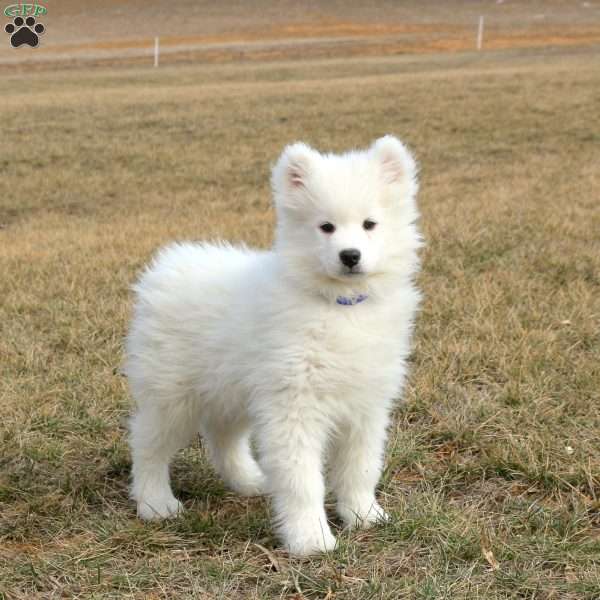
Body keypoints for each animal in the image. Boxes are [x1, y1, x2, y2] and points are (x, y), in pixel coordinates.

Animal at [124, 136, 420, 556]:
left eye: (369, 224)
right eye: (326, 227)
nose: (350, 256)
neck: (339, 306)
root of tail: (169, 264)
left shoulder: (366, 406)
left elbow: (361, 467)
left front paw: (364, 515)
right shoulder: (294, 407)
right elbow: (303, 481)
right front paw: (311, 538)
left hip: (231, 388)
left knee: (224, 439)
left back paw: (249, 481)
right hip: (172, 393)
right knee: (148, 443)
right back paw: (155, 503)